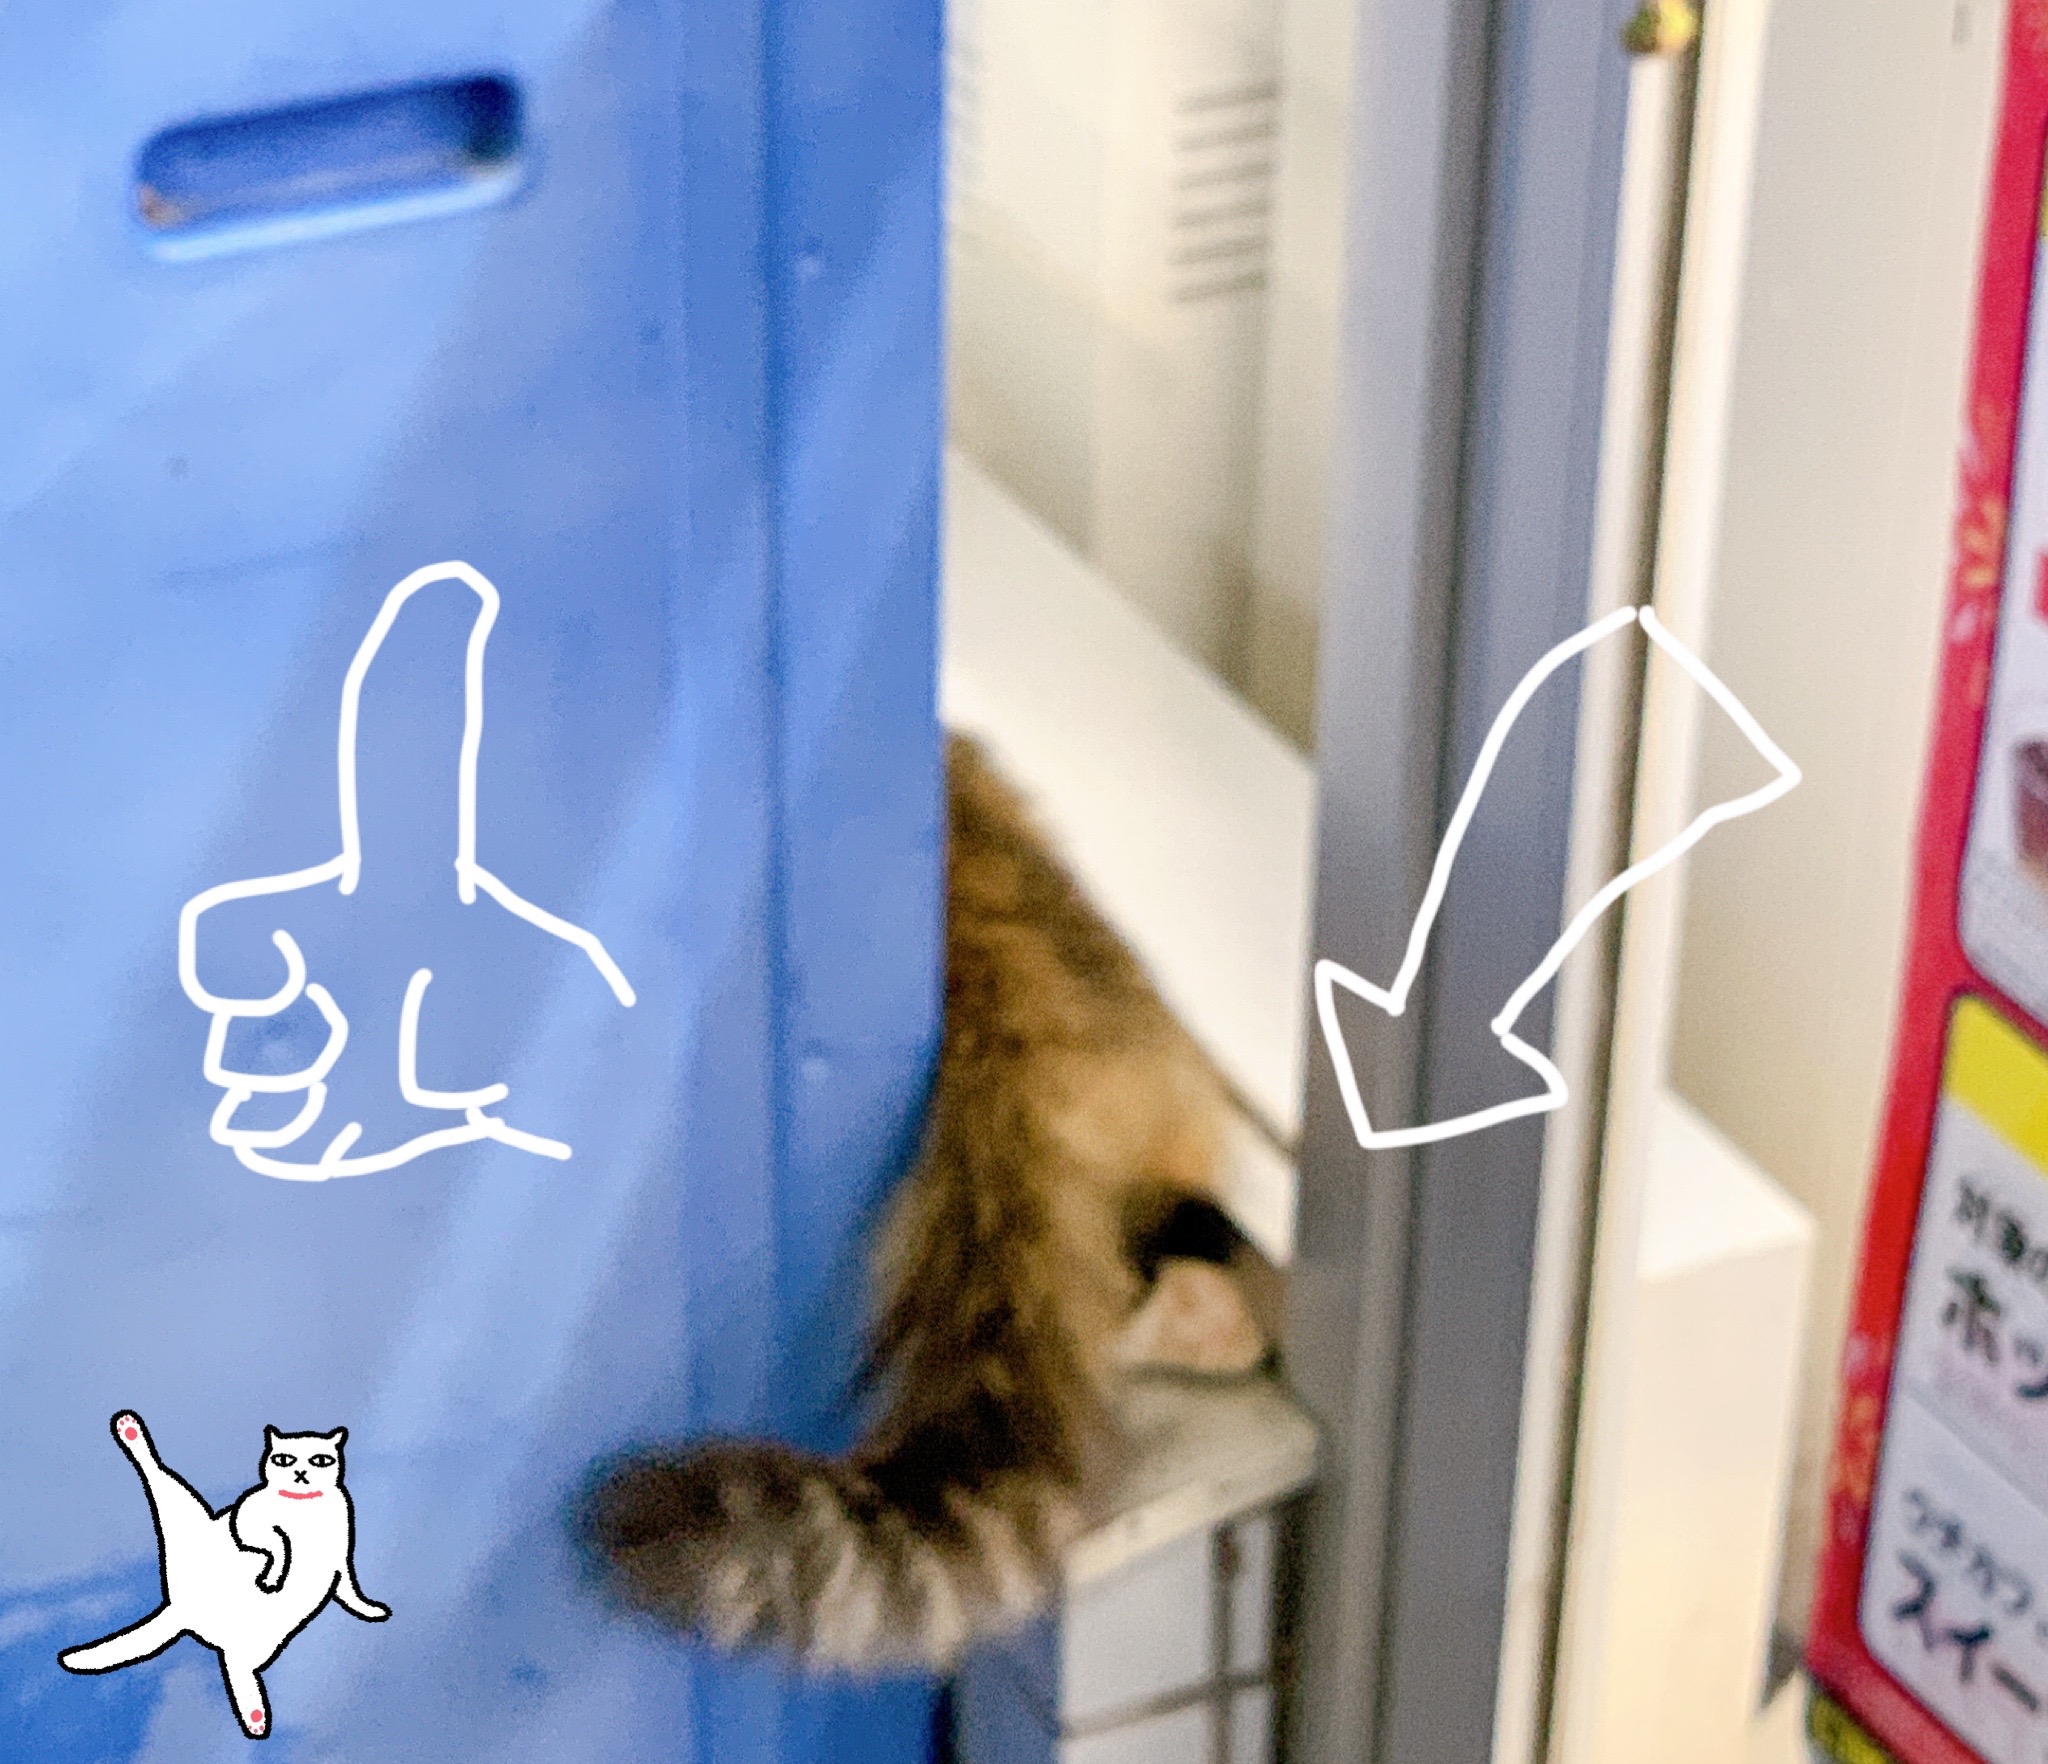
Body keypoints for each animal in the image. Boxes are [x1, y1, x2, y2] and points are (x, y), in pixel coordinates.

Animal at [60, 1412, 389, 1739]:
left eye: (320, 1460)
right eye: (284, 1459)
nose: (300, 1473)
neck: (304, 1508)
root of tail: (181, 1609)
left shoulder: (340, 1559)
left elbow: (350, 1592)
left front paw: (369, 1610)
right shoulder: (248, 1522)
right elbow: (276, 1540)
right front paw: (275, 1570)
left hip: (257, 1643)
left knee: (235, 1666)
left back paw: (254, 1714)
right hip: (184, 1517)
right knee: (157, 1473)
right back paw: (129, 1429)